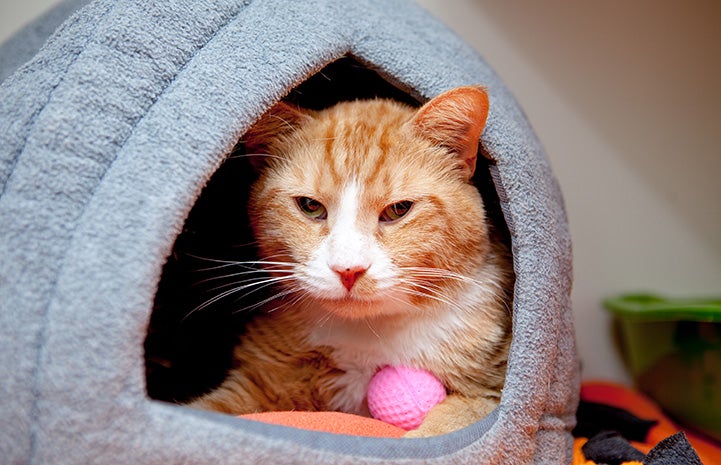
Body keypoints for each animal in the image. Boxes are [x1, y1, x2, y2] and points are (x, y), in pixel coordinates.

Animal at [186, 84, 512, 436]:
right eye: (310, 206)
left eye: (398, 209)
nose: (349, 270)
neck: (368, 336)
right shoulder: (259, 382)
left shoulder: (491, 396)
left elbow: (453, 423)